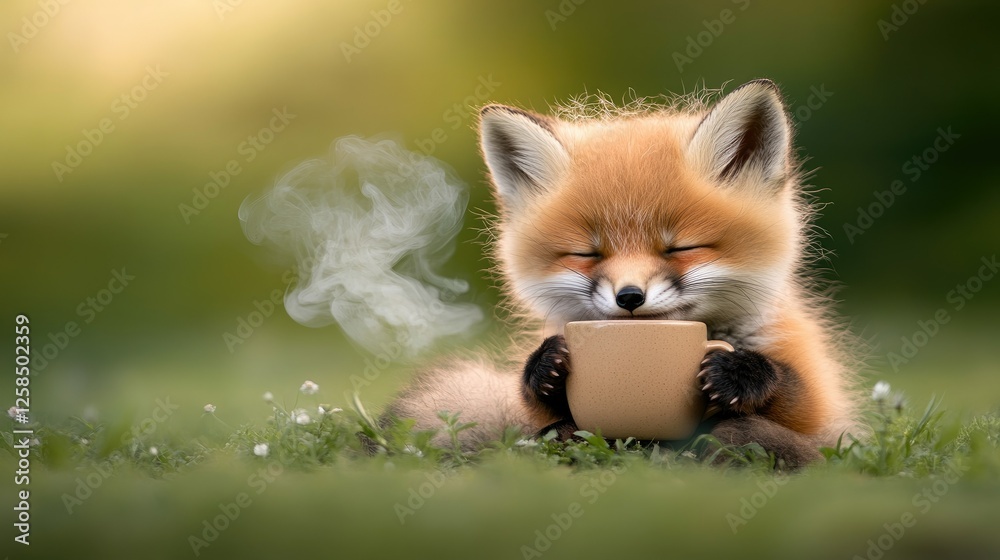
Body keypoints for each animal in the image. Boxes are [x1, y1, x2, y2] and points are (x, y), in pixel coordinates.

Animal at [384, 79, 859, 467]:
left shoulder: (820, 400)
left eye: (681, 248)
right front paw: (543, 367)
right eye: (587, 253)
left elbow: (801, 398)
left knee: (743, 436)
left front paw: (740, 374)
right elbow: (535, 404)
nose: (629, 297)